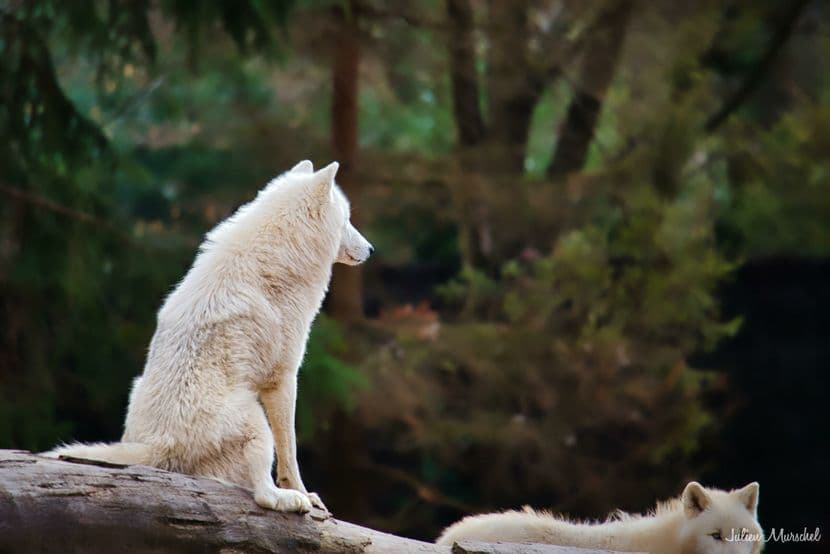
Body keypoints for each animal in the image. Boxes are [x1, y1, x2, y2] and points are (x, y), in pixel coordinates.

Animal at [45, 160, 372, 513]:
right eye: (347, 219)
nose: (371, 250)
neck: (281, 252)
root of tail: (157, 446)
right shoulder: (283, 378)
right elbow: (291, 451)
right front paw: (305, 493)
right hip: (254, 417)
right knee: (262, 494)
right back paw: (290, 500)